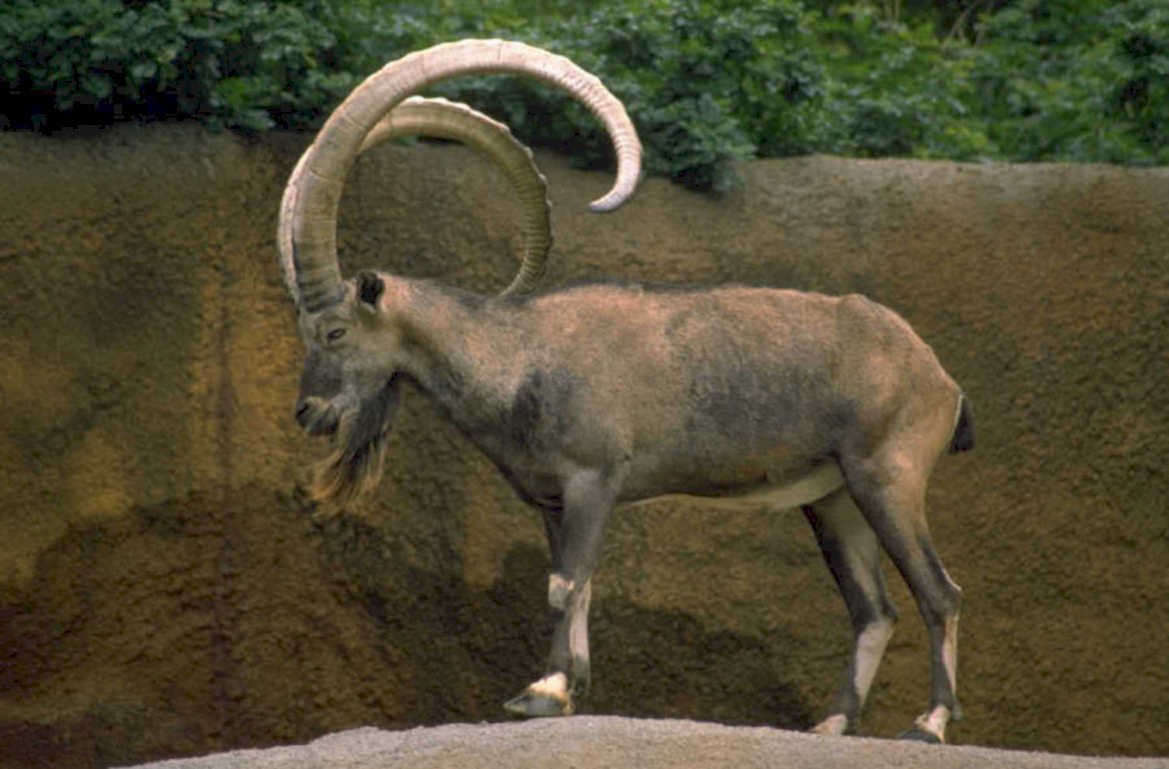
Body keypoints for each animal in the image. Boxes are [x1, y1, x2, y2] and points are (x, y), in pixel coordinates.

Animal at [278, 39, 975, 744]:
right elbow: (575, 583)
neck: (521, 353)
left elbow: (565, 584)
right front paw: (567, 687)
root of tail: (939, 378)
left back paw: (929, 722)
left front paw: (543, 691)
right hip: (832, 499)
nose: (309, 412)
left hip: (887, 477)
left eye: (335, 330)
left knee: (938, 592)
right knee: (874, 609)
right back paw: (833, 723)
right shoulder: (554, 500)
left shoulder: (595, 476)